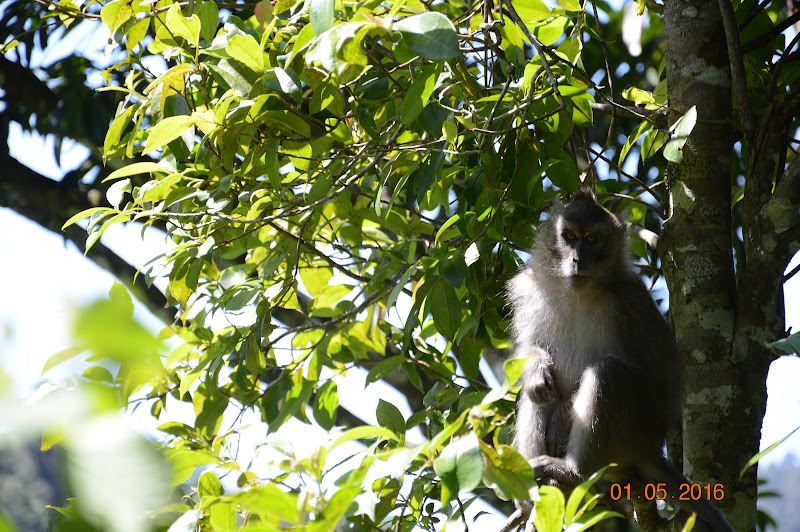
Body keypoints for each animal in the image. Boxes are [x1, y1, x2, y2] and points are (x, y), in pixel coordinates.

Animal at [506, 189, 732, 528]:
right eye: (569, 236)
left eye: (592, 239)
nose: (577, 259)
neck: (579, 292)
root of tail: (651, 451)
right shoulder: (531, 291)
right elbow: (527, 351)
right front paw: (535, 369)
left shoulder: (631, 300)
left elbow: (659, 381)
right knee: (539, 395)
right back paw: (530, 494)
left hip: (636, 432)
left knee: (609, 372)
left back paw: (572, 471)